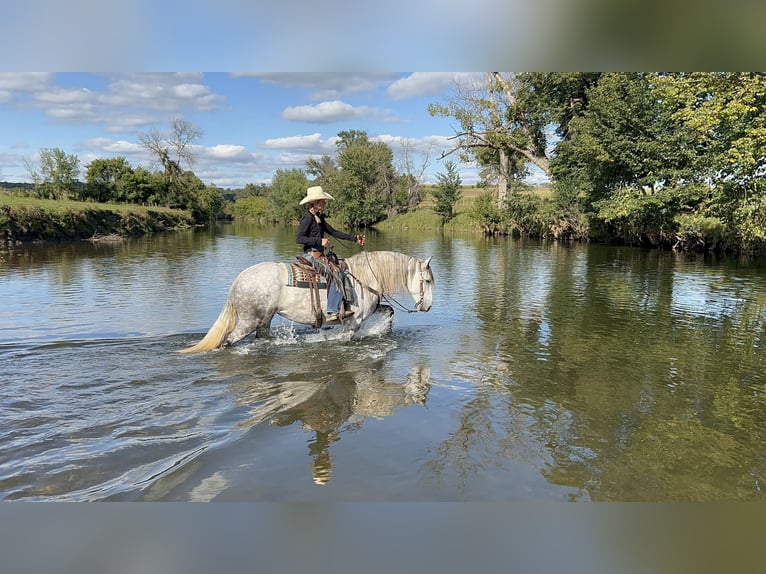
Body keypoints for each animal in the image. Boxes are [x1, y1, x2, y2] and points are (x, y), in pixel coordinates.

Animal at [178, 250, 434, 353]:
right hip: (248, 322)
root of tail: (239, 280)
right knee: (226, 341)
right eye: (428, 280)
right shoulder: (353, 322)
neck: (366, 277)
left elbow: (389, 311)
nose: (428, 307)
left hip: (263, 321)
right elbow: (342, 338)